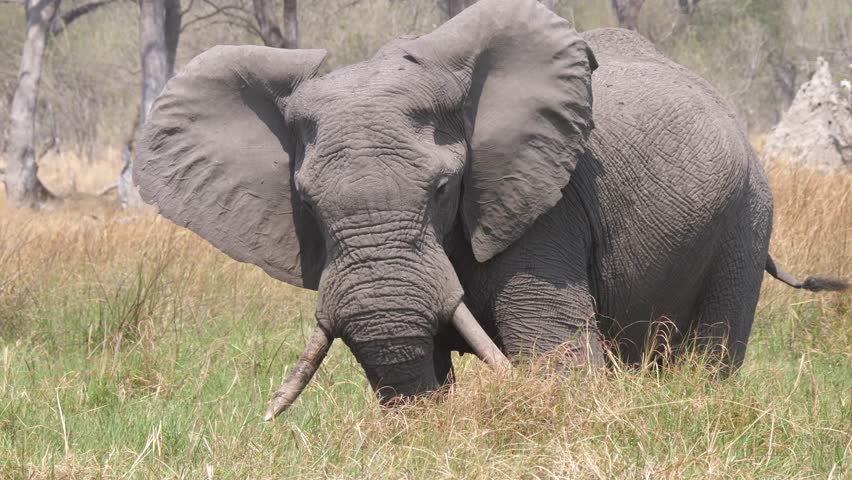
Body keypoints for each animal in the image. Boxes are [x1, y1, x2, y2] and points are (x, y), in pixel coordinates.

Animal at [133, 0, 848, 420]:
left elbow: (552, 345)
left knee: (710, 353)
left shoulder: (546, 204)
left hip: (747, 215)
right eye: (305, 203)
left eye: (444, 189)